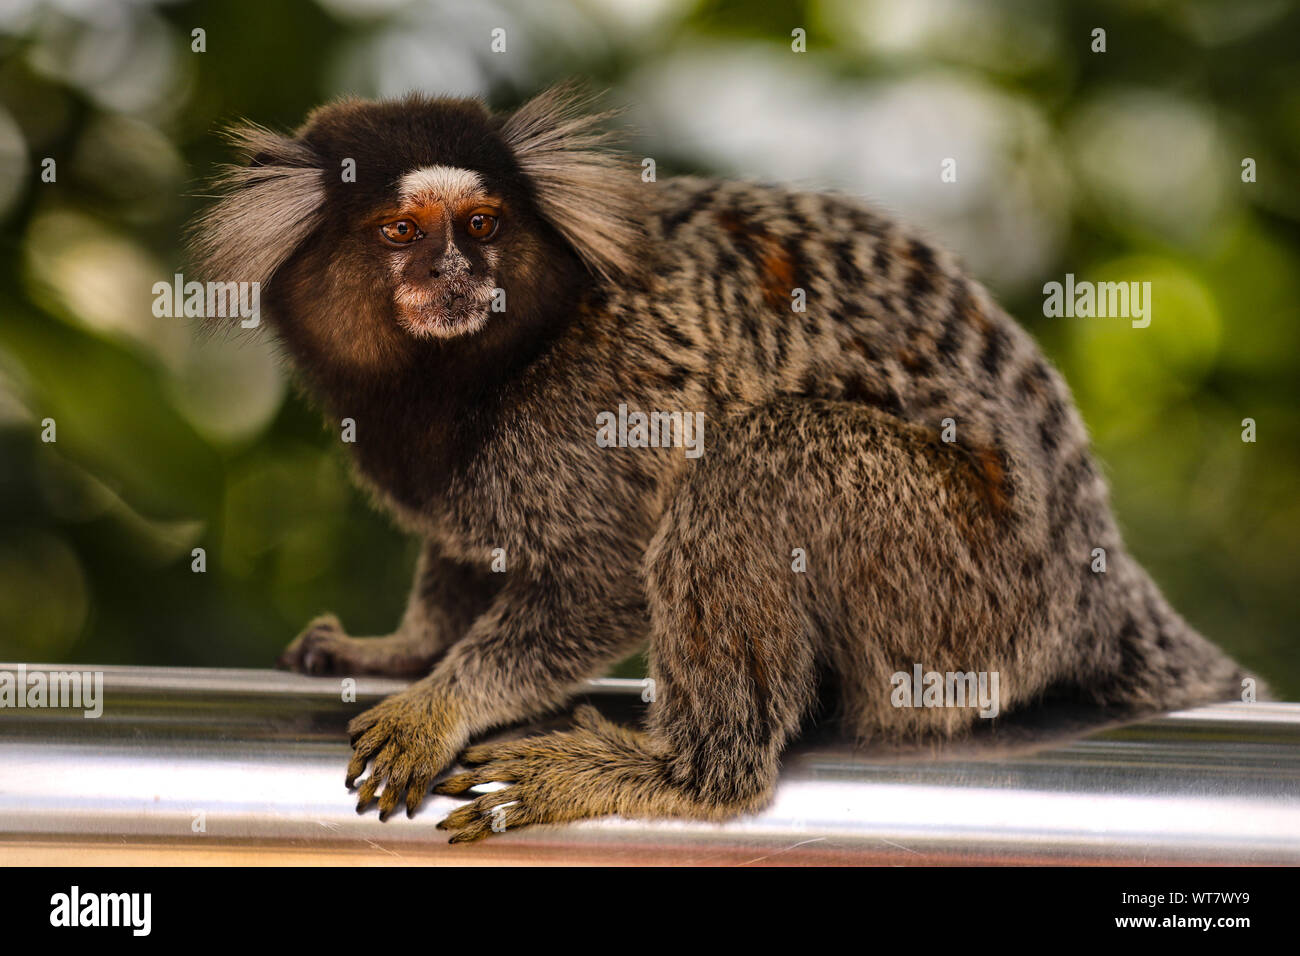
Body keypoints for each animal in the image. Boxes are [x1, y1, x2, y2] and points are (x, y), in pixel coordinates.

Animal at [189, 83, 1258, 842]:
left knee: (758, 461)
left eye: (483, 225)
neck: (474, 372)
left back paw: (680, 774)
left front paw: (444, 701)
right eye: (402, 233)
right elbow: (466, 553)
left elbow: (605, 575)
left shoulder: (596, 400)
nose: (458, 275)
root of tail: (1092, 581)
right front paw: (405, 647)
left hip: (969, 591)